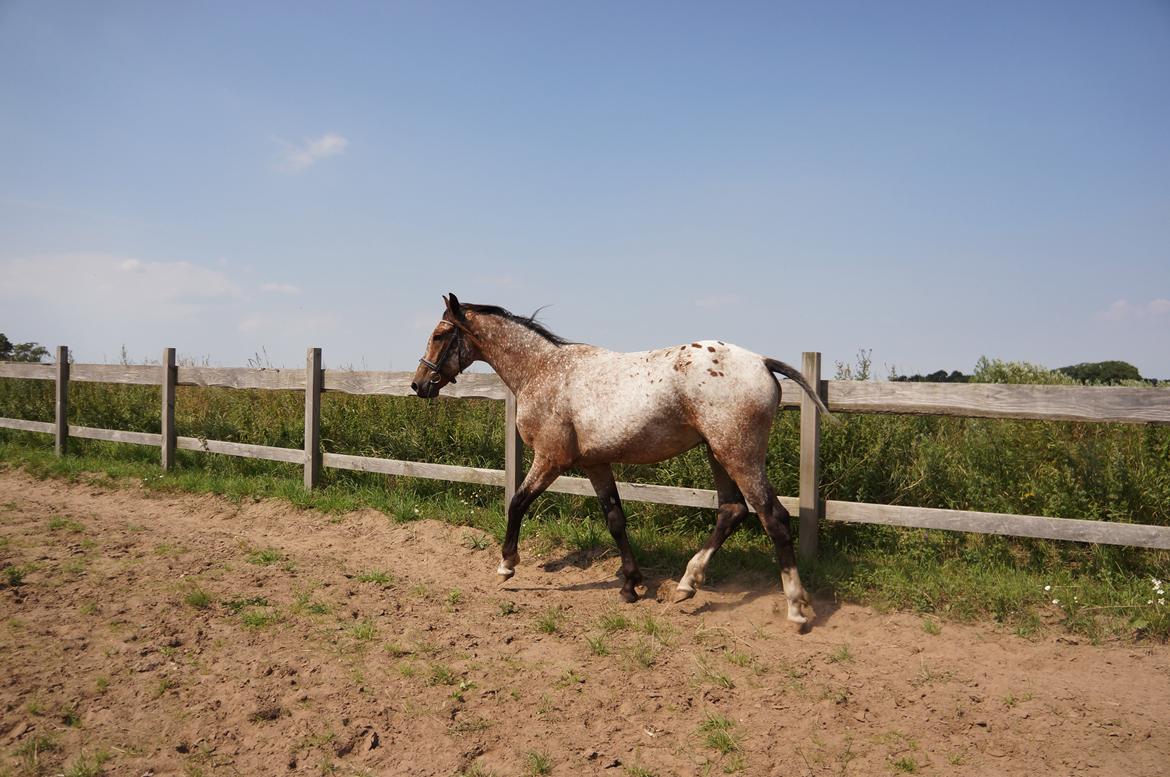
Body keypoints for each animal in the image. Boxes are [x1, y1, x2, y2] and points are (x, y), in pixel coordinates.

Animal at [411, 294, 833, 627]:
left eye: (439, 335)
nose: (419, 384)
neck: (543, 372)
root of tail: (762, 361)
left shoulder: (550, 459)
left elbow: (517, 503)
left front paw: (507, 565)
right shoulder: (595, 465)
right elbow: (615, 519)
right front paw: (631, 584)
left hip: (738, 453)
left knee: (773, 517)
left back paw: (796, 608)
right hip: (717, 452)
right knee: (732, 511)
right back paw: (686, 585)